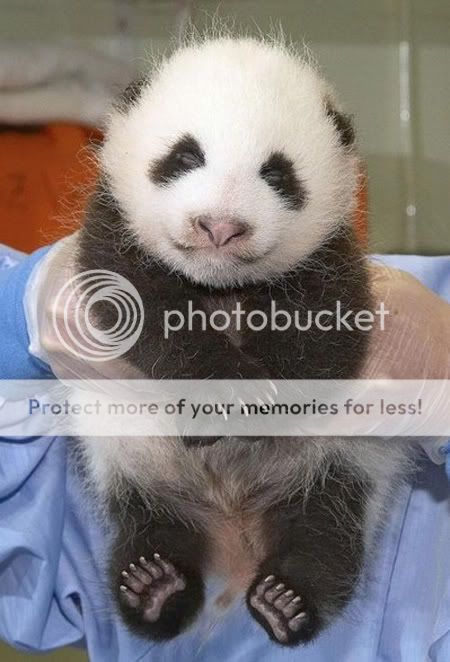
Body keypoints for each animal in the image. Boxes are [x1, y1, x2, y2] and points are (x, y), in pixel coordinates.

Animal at [74, 34, 412, 647]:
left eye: (278, 174)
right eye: (185, 156)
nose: (220, 227)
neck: (222, 285)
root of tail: (233, 522)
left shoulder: (334, 254)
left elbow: (326, 338)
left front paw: (260, 406)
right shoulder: (113, 231)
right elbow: (140, 309)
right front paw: (220, 395)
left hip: (338, 464)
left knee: (325, 530)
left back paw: (287, 599)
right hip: (133, 461)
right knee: (147, 524)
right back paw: (154, 586)